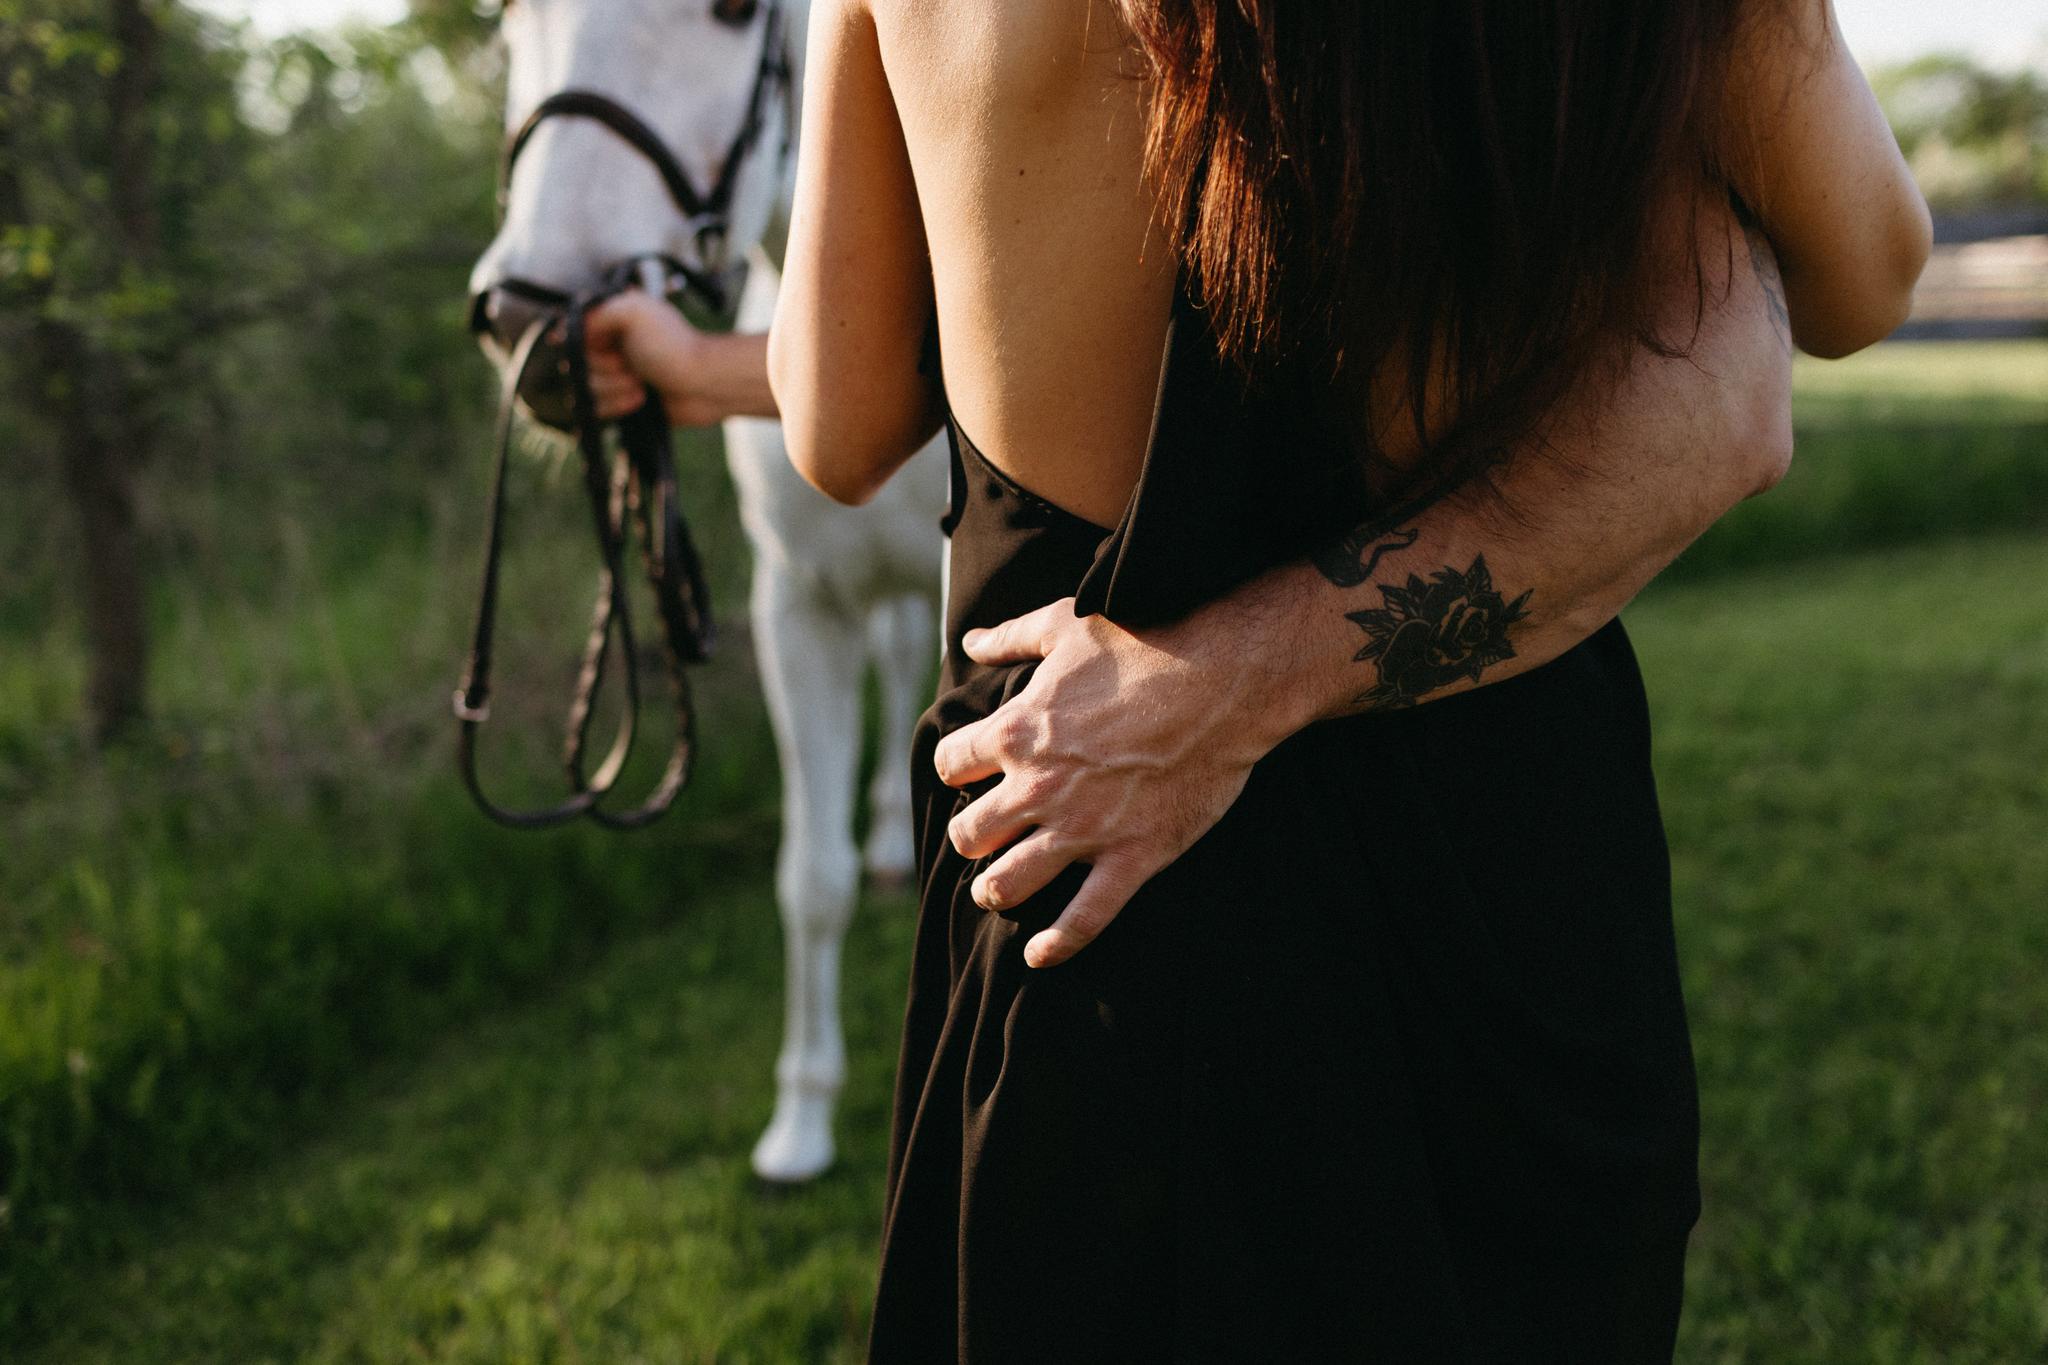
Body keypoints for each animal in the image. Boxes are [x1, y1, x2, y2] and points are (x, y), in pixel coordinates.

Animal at [468, 0, 946, 1178]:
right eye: (510, 16)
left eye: (733, 12)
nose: (534, 318)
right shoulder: (800, 610)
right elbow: (808, 880)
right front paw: (801, 1124)